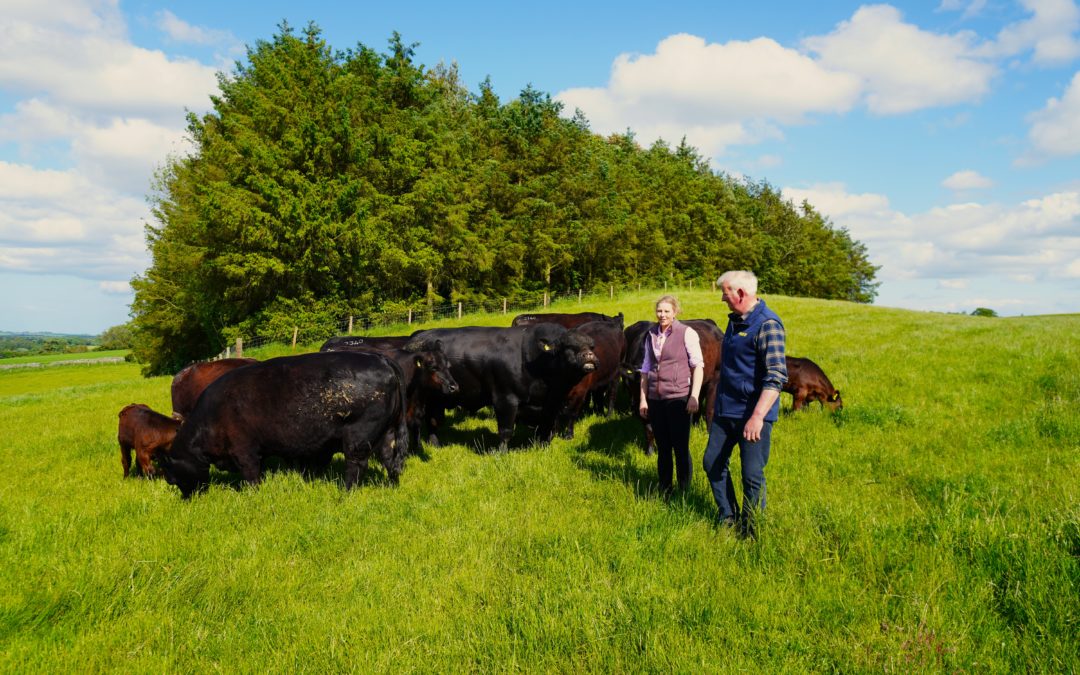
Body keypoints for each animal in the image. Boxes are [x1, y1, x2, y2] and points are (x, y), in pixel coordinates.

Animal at [157, 349, 410, 496]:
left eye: (171, 474)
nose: (185, 497)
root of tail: (380, 359)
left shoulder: (244, 451)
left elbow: (252, 476)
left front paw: (252, 496)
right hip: (387, 432)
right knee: (390, 459)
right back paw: (392, 486)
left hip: (358, 437)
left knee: (356, 466)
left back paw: (345, 494)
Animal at [412, 324, 600, 449]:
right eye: (568, 347)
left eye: (591, 346)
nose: (589, 355)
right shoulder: (505, 399)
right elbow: (506, 430)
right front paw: (500, 453)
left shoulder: (551, 405)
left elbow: (547, 427)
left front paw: (543, 446)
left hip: (436, 402)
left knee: (433, 421)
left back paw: (435, 444)